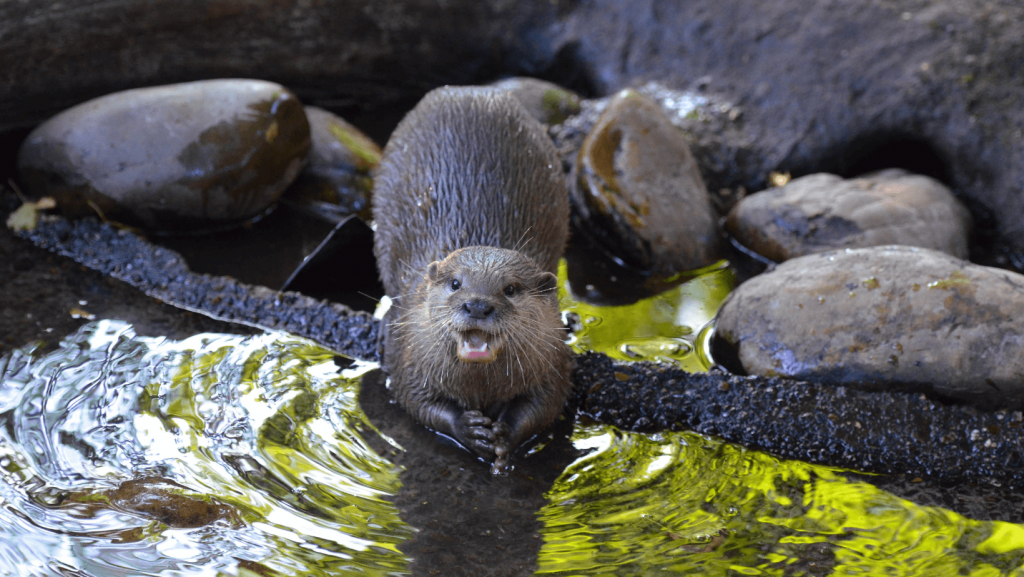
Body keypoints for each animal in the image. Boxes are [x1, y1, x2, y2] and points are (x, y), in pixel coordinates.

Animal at [372, 87, 573, 473]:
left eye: (510, 289)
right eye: (455, 283)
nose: (478, 304)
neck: (480, 387)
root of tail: (472, 90)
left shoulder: (554, 359)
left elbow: (546, 405)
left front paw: (505, 434)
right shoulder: (408, 353)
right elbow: (413, 399)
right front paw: (468, 430)